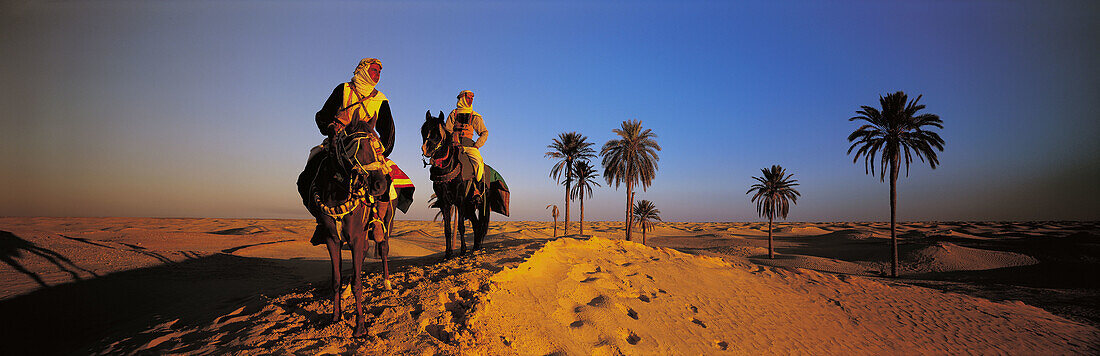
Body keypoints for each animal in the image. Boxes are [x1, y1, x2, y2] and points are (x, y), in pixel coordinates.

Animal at [420, 109, 490, 257]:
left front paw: (463, 251)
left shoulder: (460, 200)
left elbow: (461, 227)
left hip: (479, 204)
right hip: (470, 207)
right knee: (476, 224)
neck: (447, 167)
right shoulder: (444, 202)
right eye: (423, 130)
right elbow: (447, 229)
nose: (426, 149)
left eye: (438, 132)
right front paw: (448, 253)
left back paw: (476, 248)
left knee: (480, 224)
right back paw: (475, 247)